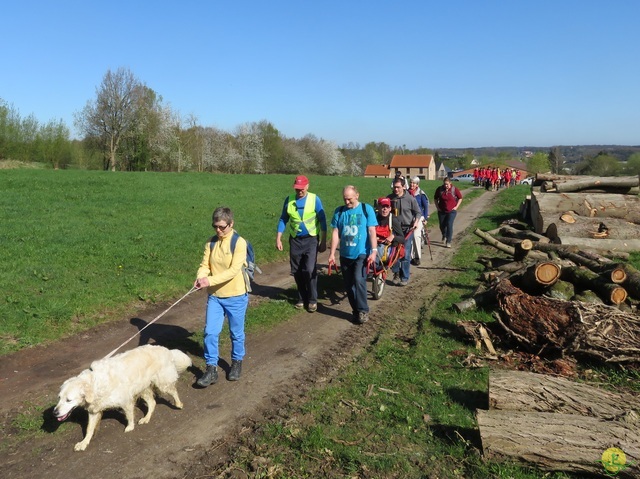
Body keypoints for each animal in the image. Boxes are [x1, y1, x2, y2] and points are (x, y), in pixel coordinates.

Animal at [53, 344, 190, 450]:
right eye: (59, 398)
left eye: (68, 400)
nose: (55, 412)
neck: (95, 384)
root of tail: (166, 350)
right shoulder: (94, 411)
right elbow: (89, 429)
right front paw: (84, 443)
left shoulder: (125, 401)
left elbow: (129, 416)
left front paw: (130, 427)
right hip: (143, 388)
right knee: (152, 403)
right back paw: (146, 418)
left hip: (162, 383)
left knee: (173, 391)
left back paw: (179, 404)